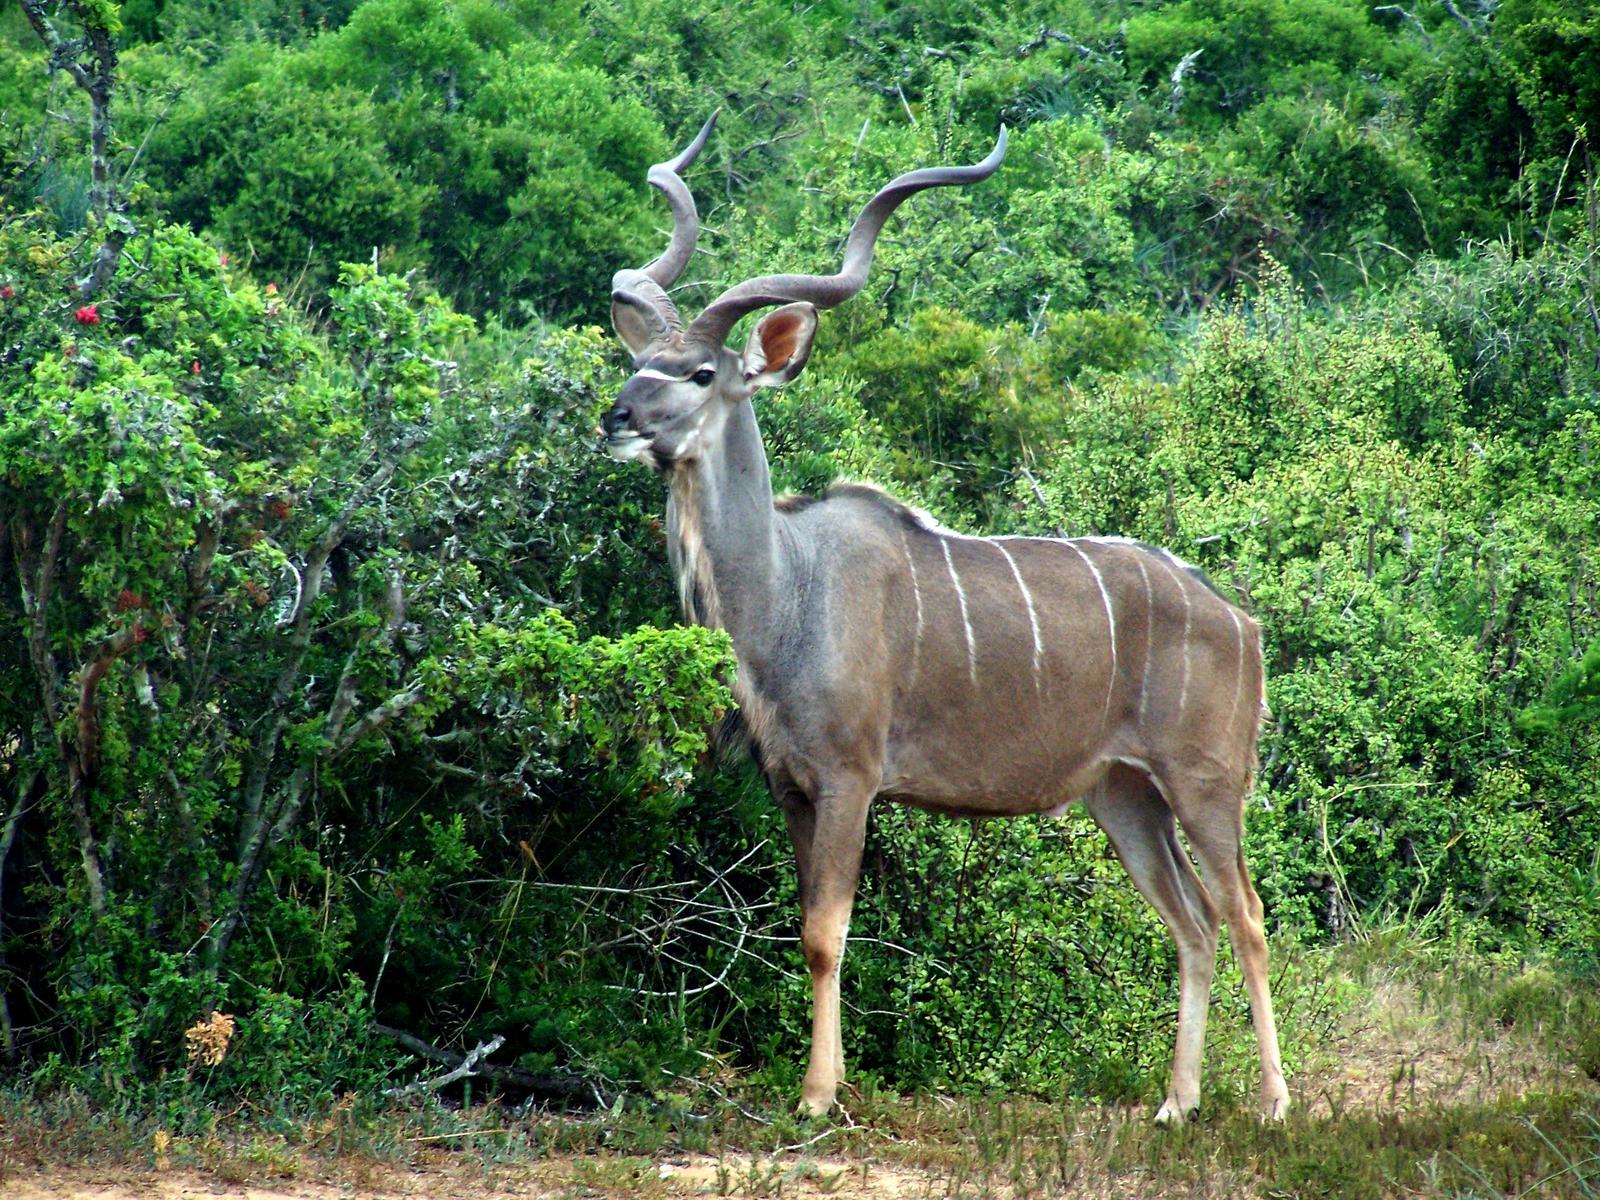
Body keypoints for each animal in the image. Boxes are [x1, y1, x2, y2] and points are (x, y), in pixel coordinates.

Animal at [598, 117, 1286, 1126]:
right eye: (635, 363)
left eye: (697, 372)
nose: (614, 418)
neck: (790, 590)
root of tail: (1241, 621)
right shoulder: (791, 788)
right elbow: (808, 925)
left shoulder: (850, 779)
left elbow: (827, 932)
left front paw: (818, 1097)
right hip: (1124, 795)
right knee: (1192, 924)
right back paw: (1175, 1105)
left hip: (1204, 783)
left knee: (1246, 917)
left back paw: (1274, 1102)